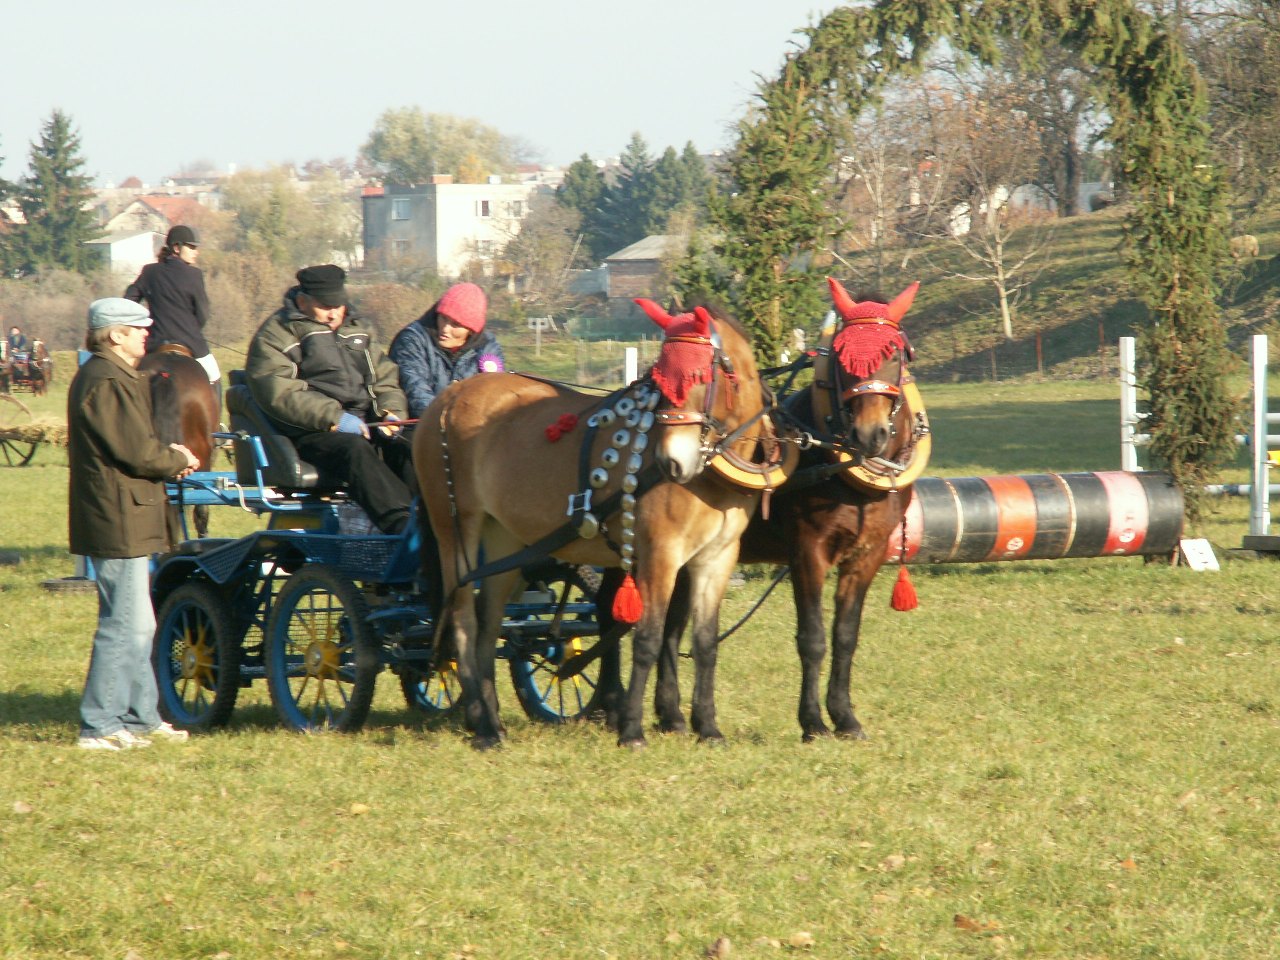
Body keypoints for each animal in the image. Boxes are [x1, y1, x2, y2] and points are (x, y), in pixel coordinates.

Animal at [660, 277, 931, 742]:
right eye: (841, 359)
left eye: (895, 355)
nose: (872, 434)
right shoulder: (808, 551)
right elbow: (812, 637)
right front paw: (813, 722)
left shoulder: (868, 554)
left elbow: (845, 637)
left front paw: (845, 717)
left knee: (671, 628)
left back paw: (670, 716)